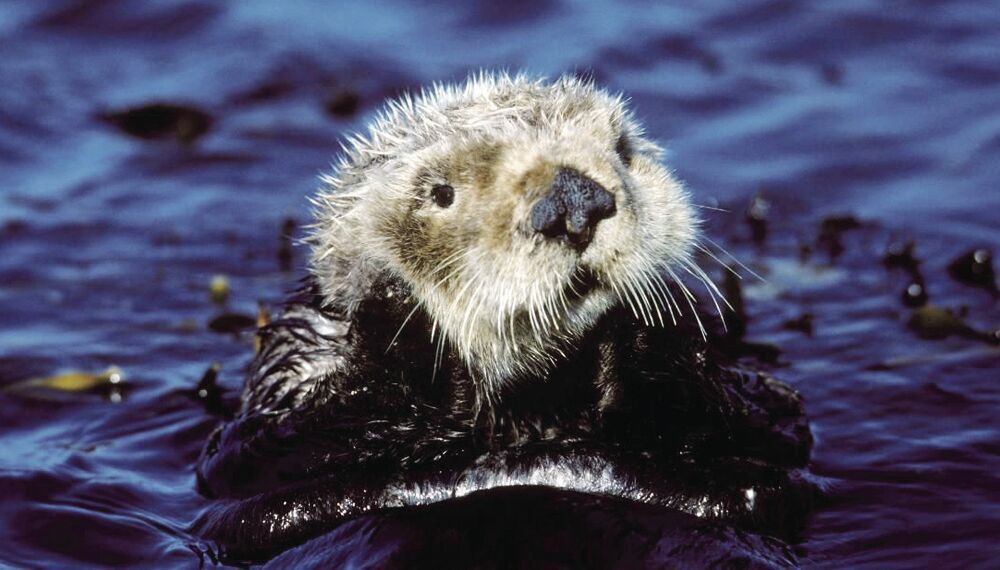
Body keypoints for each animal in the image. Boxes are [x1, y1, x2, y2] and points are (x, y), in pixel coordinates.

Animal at [195, 73, 813, 566]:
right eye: (439, 192)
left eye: (621, 149)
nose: (573, 198)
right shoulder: (290, 365)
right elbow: (260, 444)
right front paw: (400, 302)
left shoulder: (752, 405)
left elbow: (768, 414)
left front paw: (634, 314)